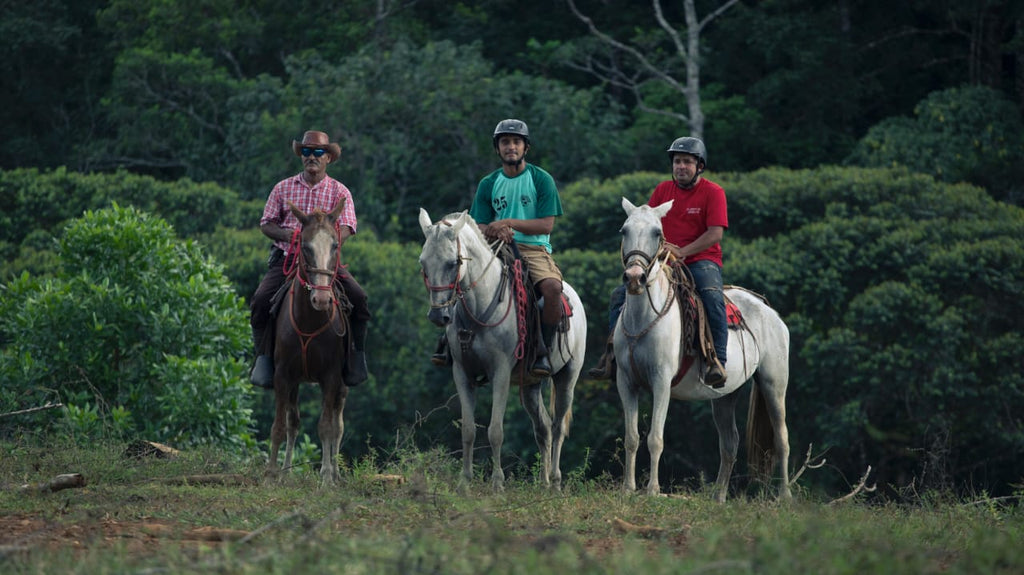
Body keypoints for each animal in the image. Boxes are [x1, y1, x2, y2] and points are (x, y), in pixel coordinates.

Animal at [268, 201, 351, 486]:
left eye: (335, 245)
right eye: (304, 246)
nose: (322, 300)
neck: (310, 320)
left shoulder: (331, 377)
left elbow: (326, 427)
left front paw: (325, 478)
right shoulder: (283, 375)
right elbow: (281, 426)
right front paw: (273, 474)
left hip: (342, 385)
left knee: (338, 425)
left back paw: (336, 474)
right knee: (293, 423)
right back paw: (286, 471)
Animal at [418, 209, 587, 491]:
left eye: (453, 263)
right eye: (423, 263)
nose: (438, 315)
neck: (479, 308)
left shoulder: (501, 373)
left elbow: (495, 430)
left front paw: (497, 484)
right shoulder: (461, 373)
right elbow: (468, 430)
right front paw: (464, 483)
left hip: (567, 377)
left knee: (557, 427)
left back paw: (554, 481)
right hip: (530, 385)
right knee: (542, 427)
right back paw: (542, 483)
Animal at [615, 197, 792, 502]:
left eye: (657, 233)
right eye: (624, 230)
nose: (635, 278)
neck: (643, 318)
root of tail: (770, 312)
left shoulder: (661, 381)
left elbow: (655, 438)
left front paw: (652, 490)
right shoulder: (626, 382)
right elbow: (632, 438)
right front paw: (628, 488)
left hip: (774, 383)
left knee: (781, 439)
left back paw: (785, 497)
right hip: (725, 395)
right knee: (729, 443)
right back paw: (719, 498)